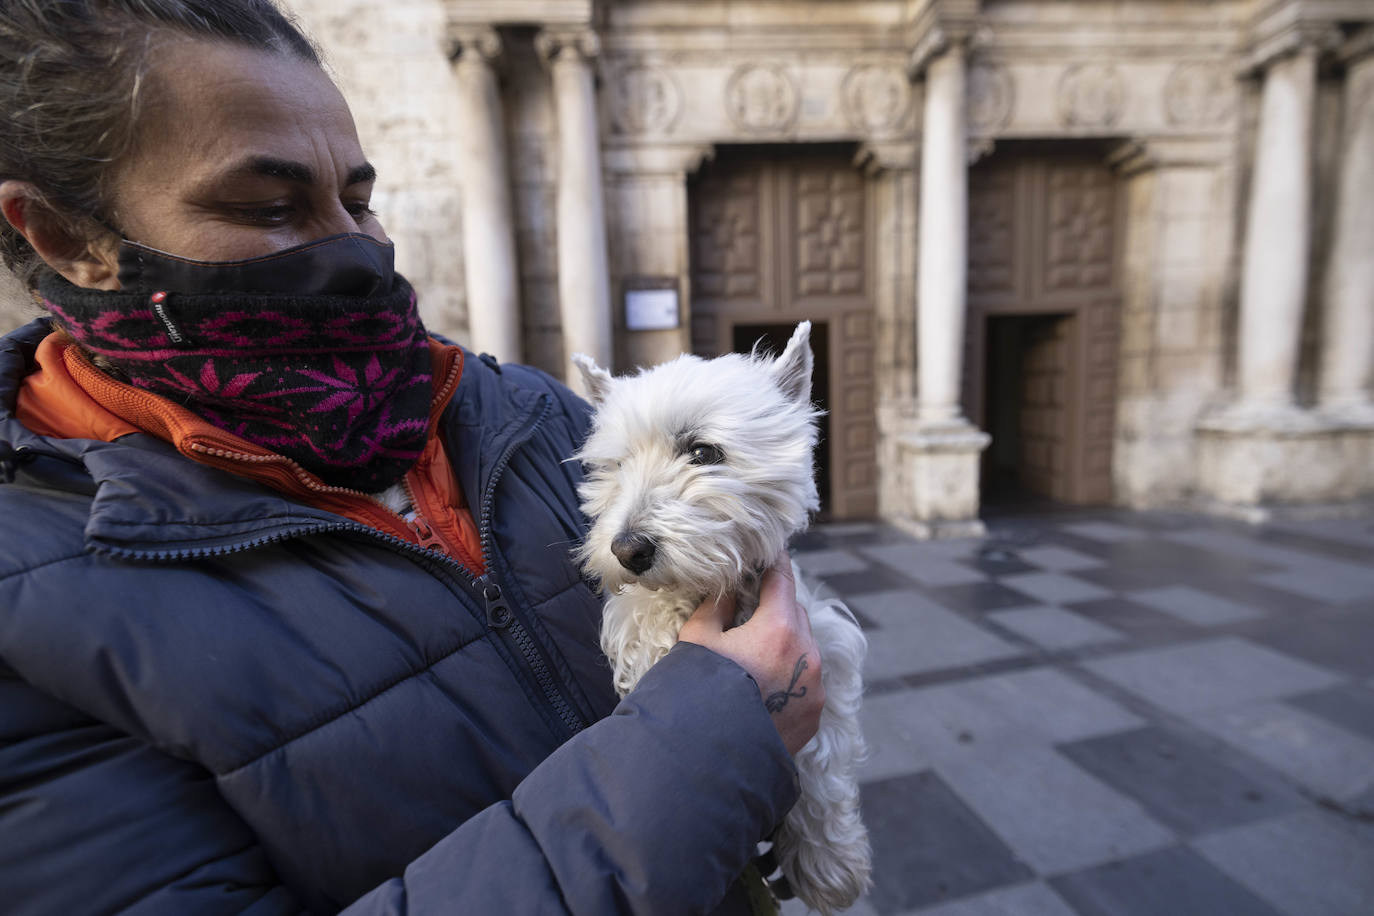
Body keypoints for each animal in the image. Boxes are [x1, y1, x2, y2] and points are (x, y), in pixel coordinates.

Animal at [568, 321, 868, 911]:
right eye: (616, 466)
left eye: (702, 451)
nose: (628, 549)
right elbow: (642, 614)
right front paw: (661, 636)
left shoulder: (826, 648)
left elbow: (825, 757)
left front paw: (831, 864)